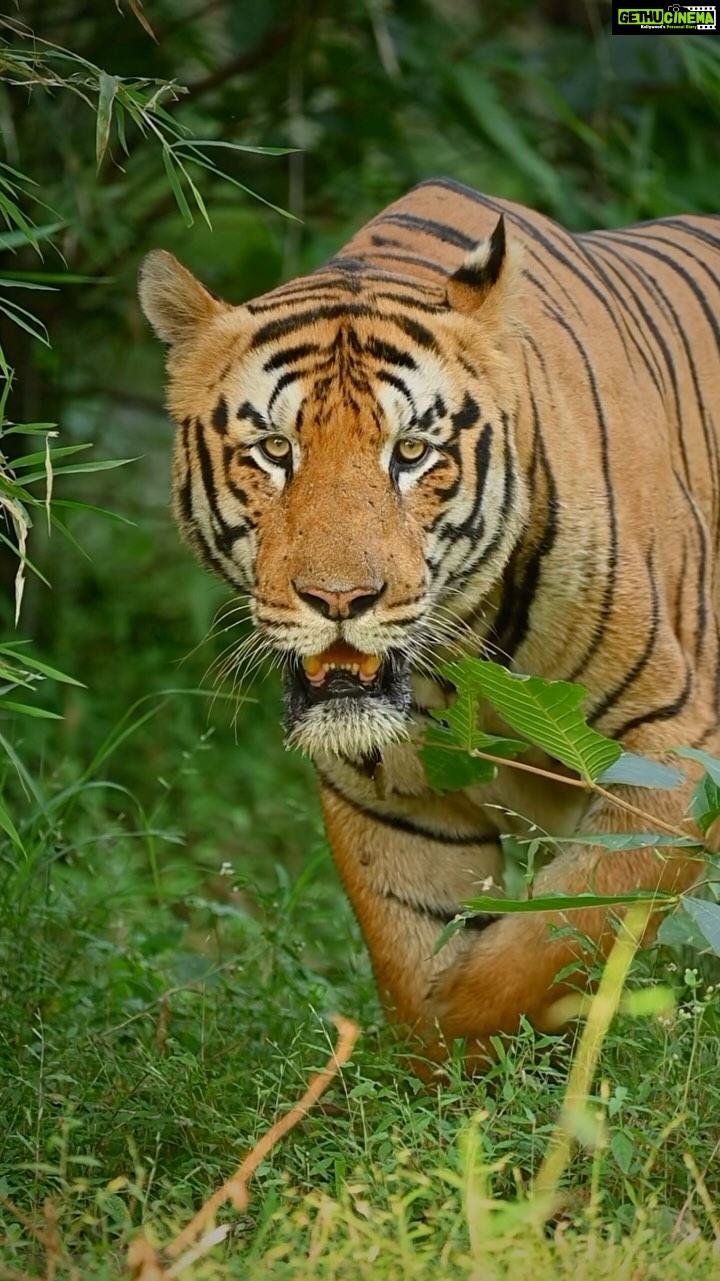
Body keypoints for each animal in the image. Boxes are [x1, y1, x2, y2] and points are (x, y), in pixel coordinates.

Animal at [139, 176, 720, 1070]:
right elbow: (414, 967)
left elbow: (552, 936)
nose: (340, 598)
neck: (462, 658)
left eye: (411, 452)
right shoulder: (395, 797)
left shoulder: (672, 757)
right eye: (274, 449)